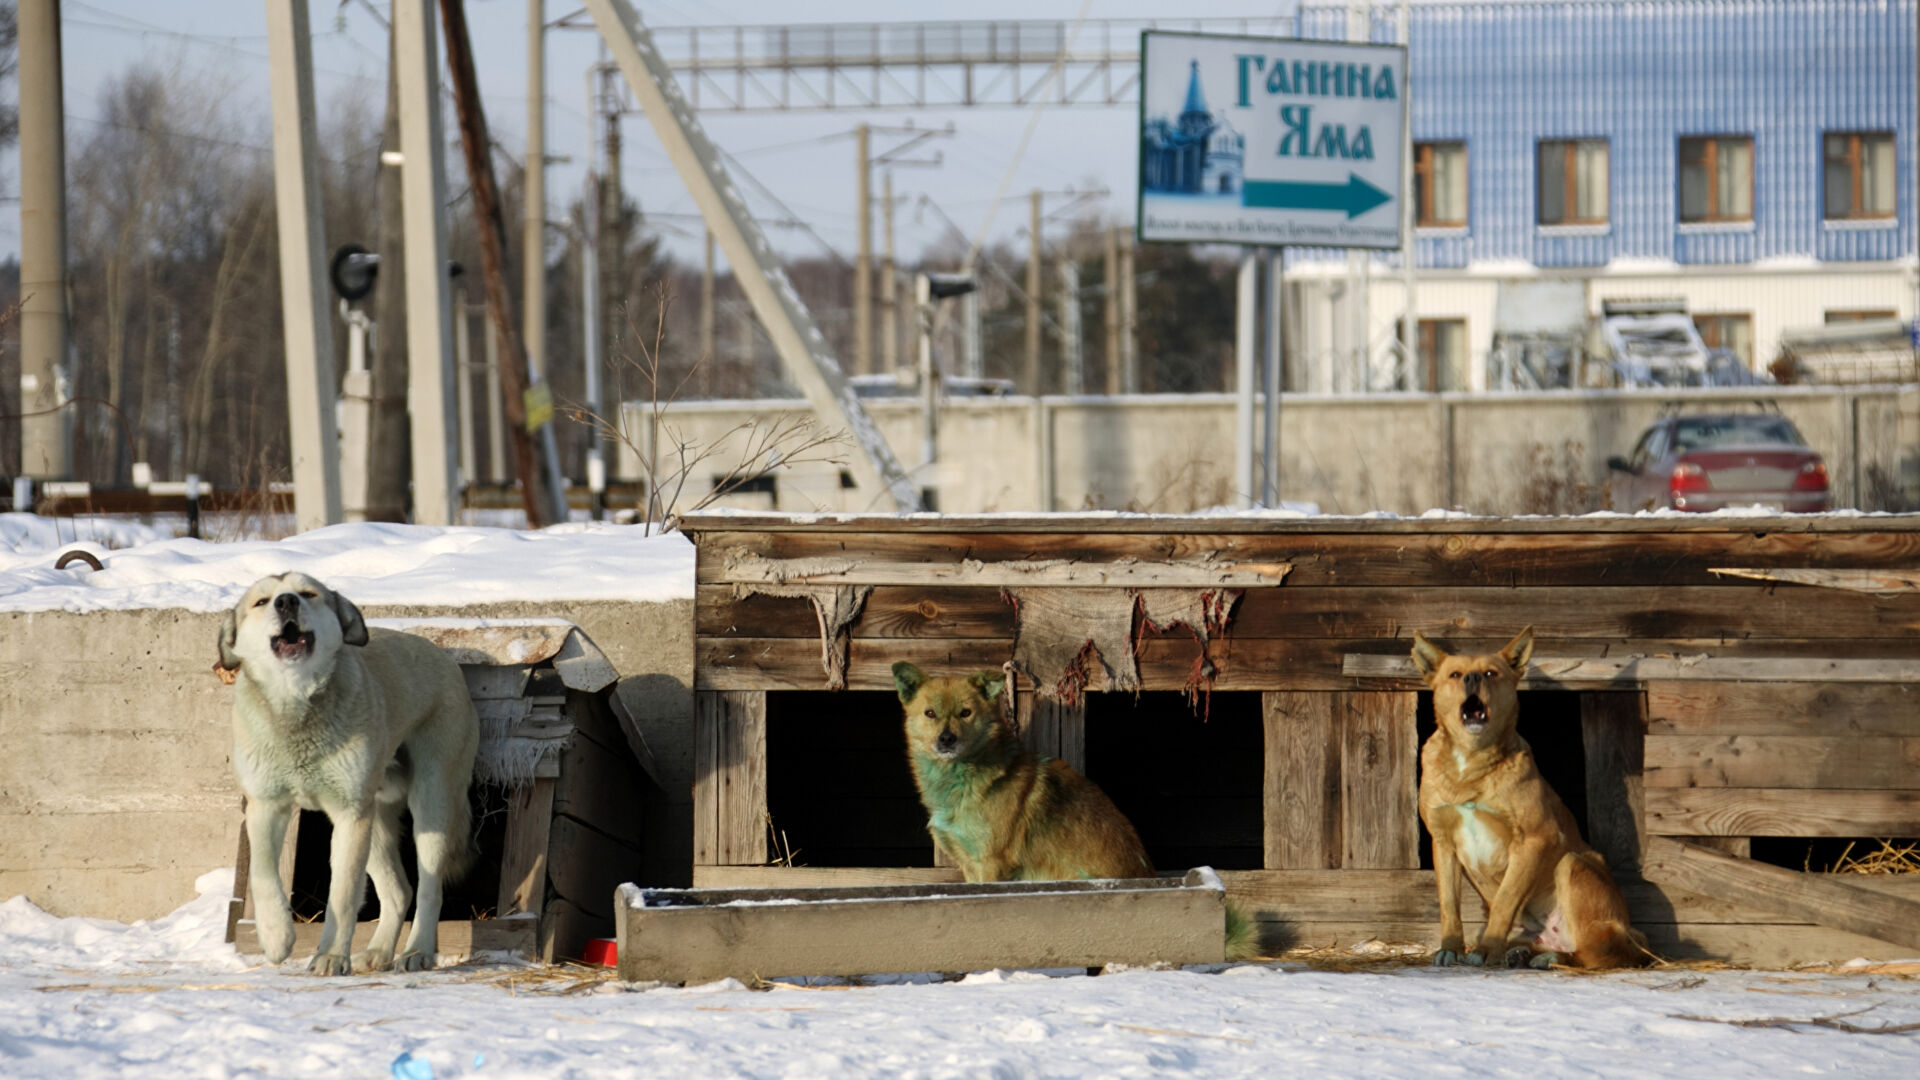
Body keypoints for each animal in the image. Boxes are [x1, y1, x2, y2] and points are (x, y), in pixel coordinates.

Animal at [221, 568, 480, 972]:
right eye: (261, 602)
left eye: (308, 593)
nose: (286, 602)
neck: (297, 708)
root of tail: (445, 656)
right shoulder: (265, 806)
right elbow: (263, 873)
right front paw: (277, 937)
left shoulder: (349, 814)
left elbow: (342, 895)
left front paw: (329, 957)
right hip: (373, 821)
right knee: (399, 890)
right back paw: (378, 952)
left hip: (429, 803)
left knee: (429, 887)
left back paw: (417, 952)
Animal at [1413, 622, 1651, 968]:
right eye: (1455, 675)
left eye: (1490, 673)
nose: (1472, 679)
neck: (1471, 761)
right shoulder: (1443, 841)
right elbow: (1448, 905)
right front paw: (1451, 948)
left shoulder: (1535, 838)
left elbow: (1505, 899)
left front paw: (1487, 950)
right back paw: (1522, 952)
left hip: (1574, 864)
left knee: (1595, 952)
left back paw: (1549, 957)